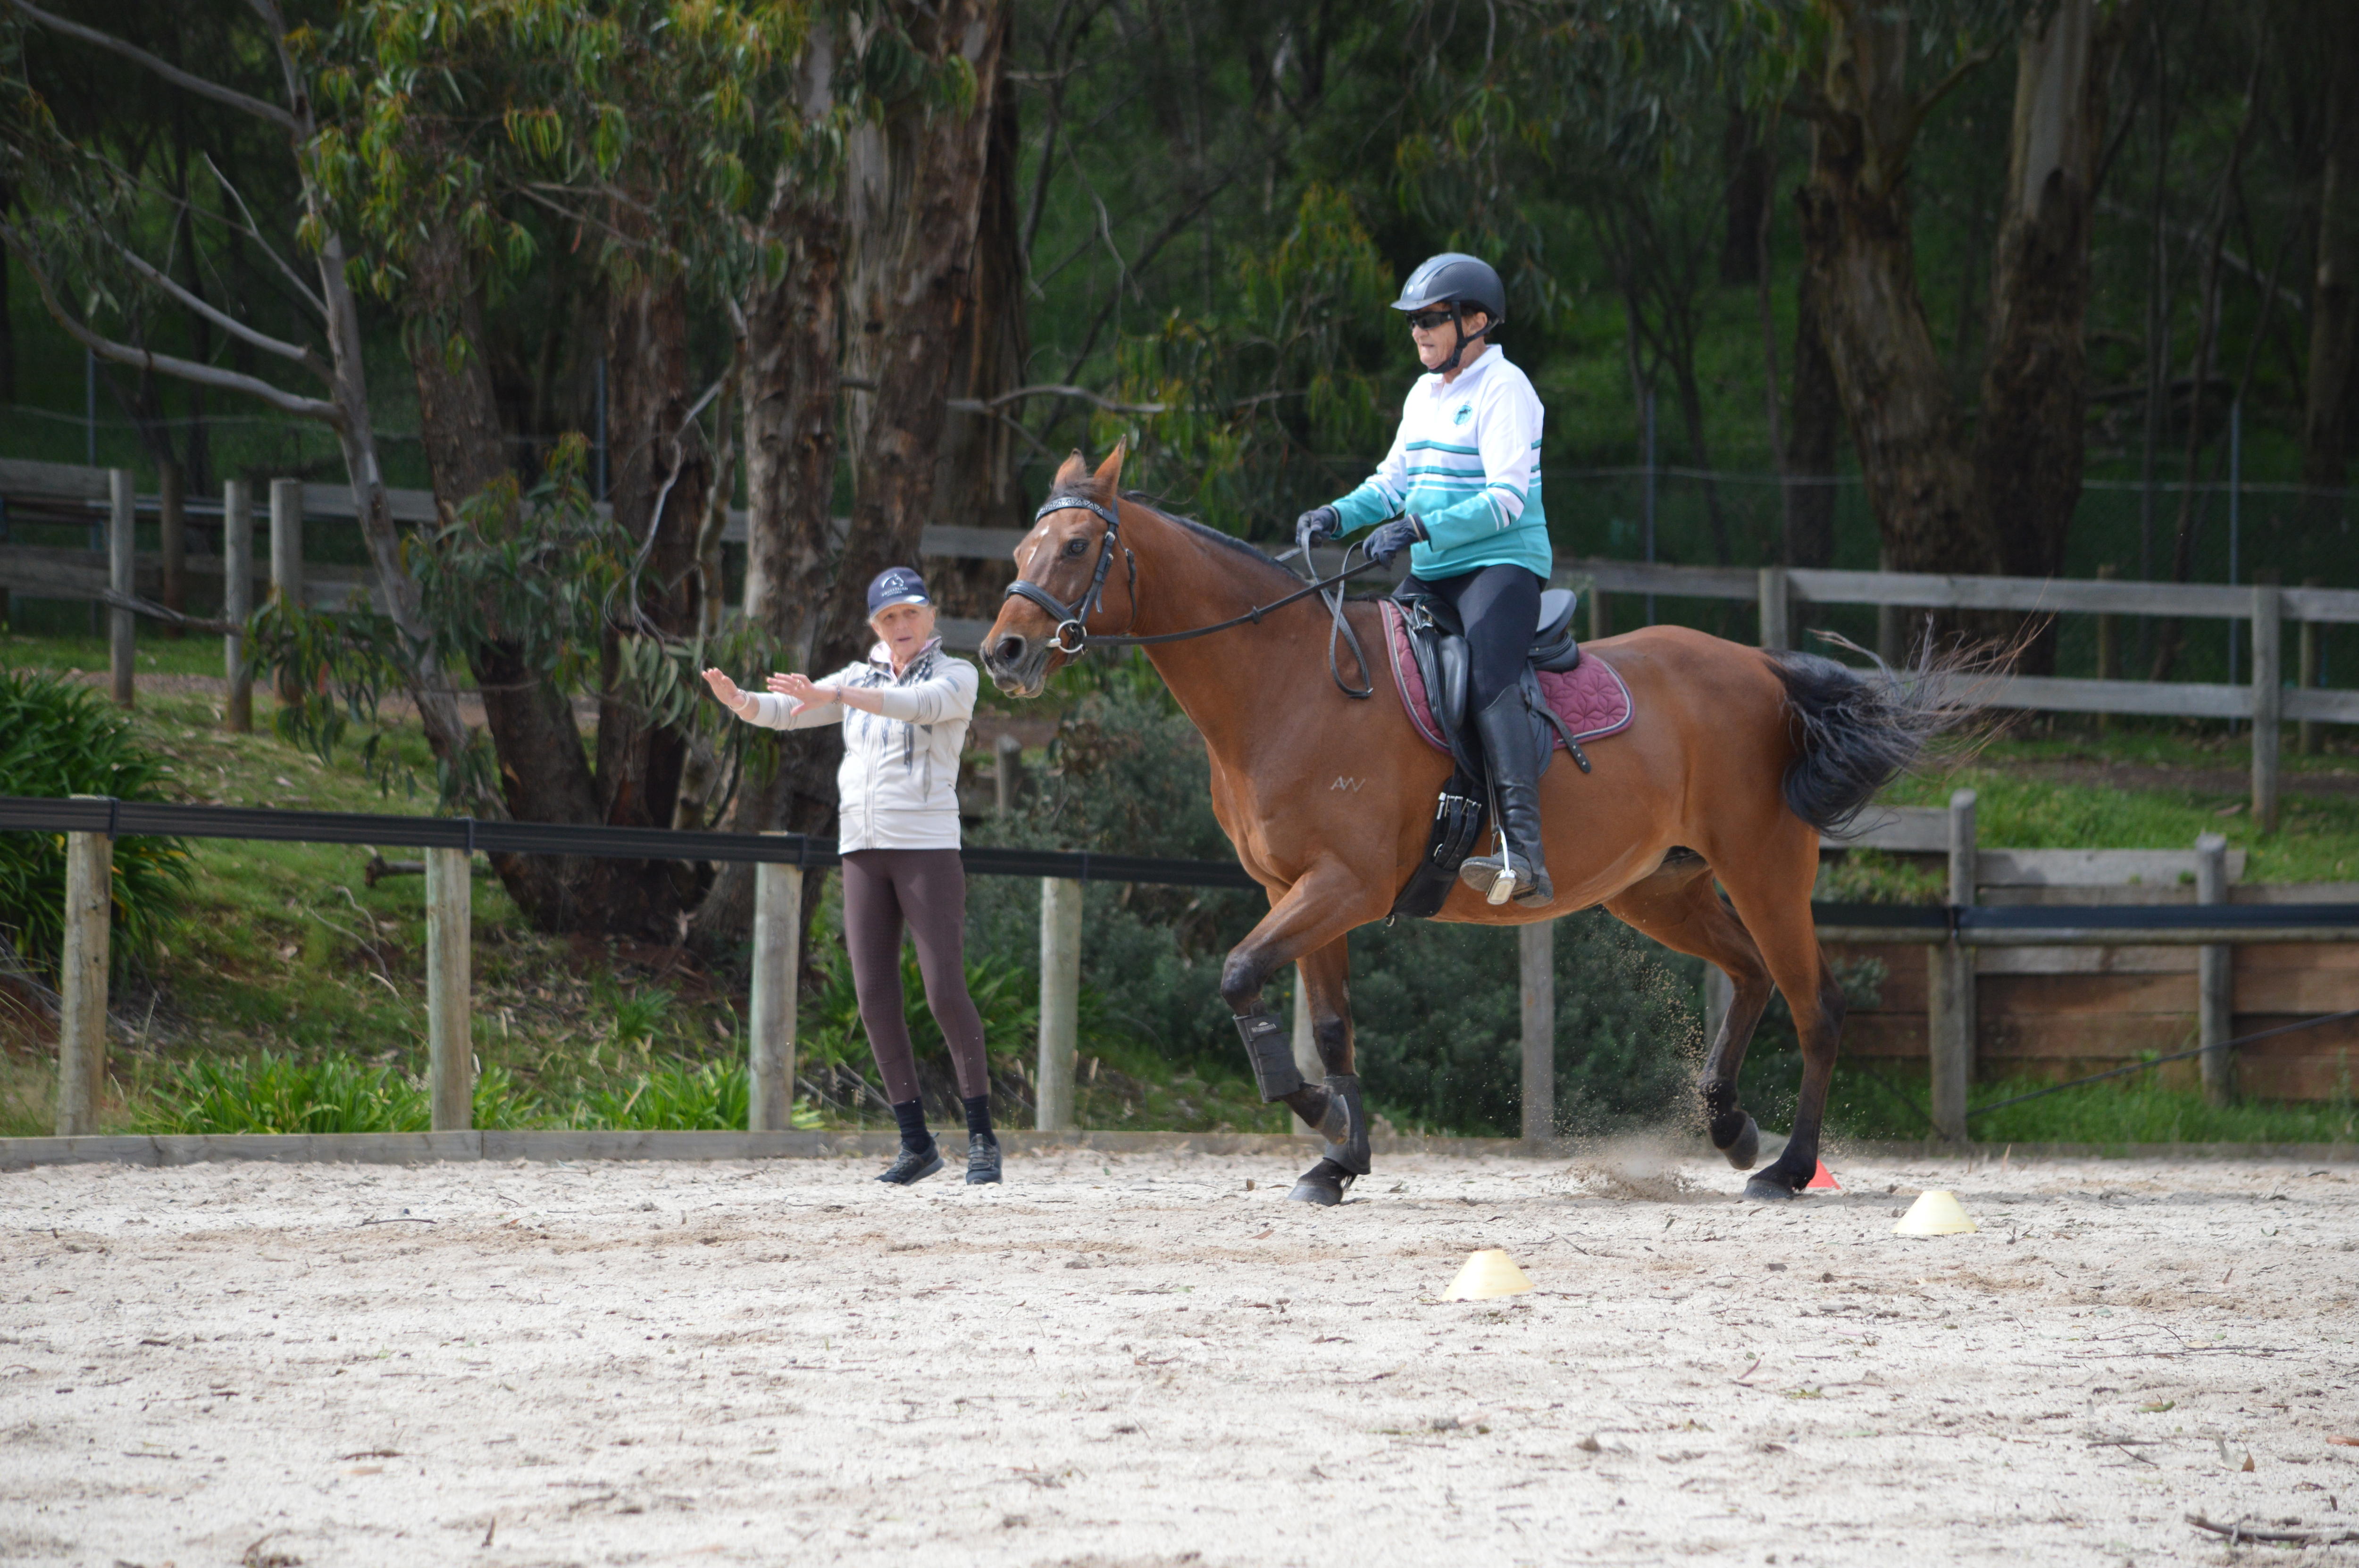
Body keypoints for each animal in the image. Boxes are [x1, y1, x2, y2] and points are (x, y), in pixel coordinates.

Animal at [982, 447, 1956, 1205]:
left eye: (1077, 545)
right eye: (1024, 545)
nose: (1004, 652)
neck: (1287, 683)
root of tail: (1760, 665)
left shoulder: (1342, 886)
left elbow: (1238, 975)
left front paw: (1323, 1118)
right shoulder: (1295, 889)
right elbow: (1327, 1023)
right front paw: (1339, 1156)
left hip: (1763, 869)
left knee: (1816, 1004)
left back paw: (1787, 1168)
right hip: (1661, 888)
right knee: (1753, 976)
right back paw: (1731, 1126)